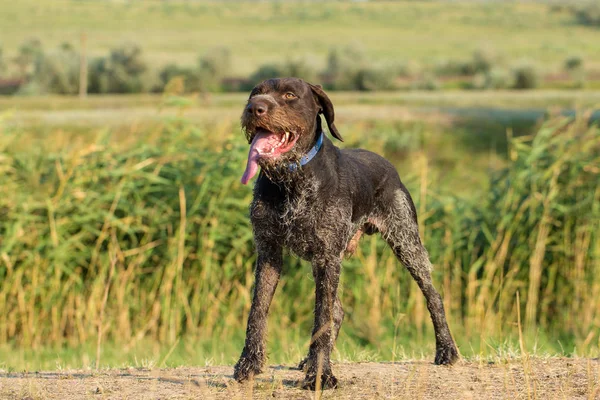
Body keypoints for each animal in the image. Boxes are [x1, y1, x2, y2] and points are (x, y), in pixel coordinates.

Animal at [234, 76, 460, 390]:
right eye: (255, 93)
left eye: (290, 95)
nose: (254, 108)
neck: (293, 179)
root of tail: (389, 164)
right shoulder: (269, 251)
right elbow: (258, 311)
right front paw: (248, 365)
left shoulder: (327, 257)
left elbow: (322, 319)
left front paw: (320, 375)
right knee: (337, 310)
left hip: (406, 241)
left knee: (432, 295)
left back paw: (446, 350)